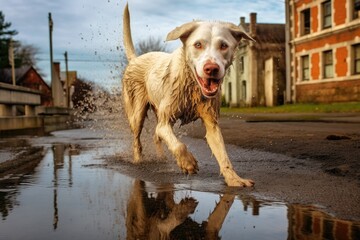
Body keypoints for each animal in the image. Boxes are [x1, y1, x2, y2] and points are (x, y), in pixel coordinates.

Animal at [122, 4, 255, 188]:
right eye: (198, 44)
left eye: (223, 45)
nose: (211, 68)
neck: (193, 86)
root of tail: (135, 59)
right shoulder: (165, 122)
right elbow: (179, 145)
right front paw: (188, 163)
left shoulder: (212, 124)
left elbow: (223, 154)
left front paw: (234, 178)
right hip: (137, 113)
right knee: (137, 139)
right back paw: (138, 160)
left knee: (156, 136)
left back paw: (162, 159)